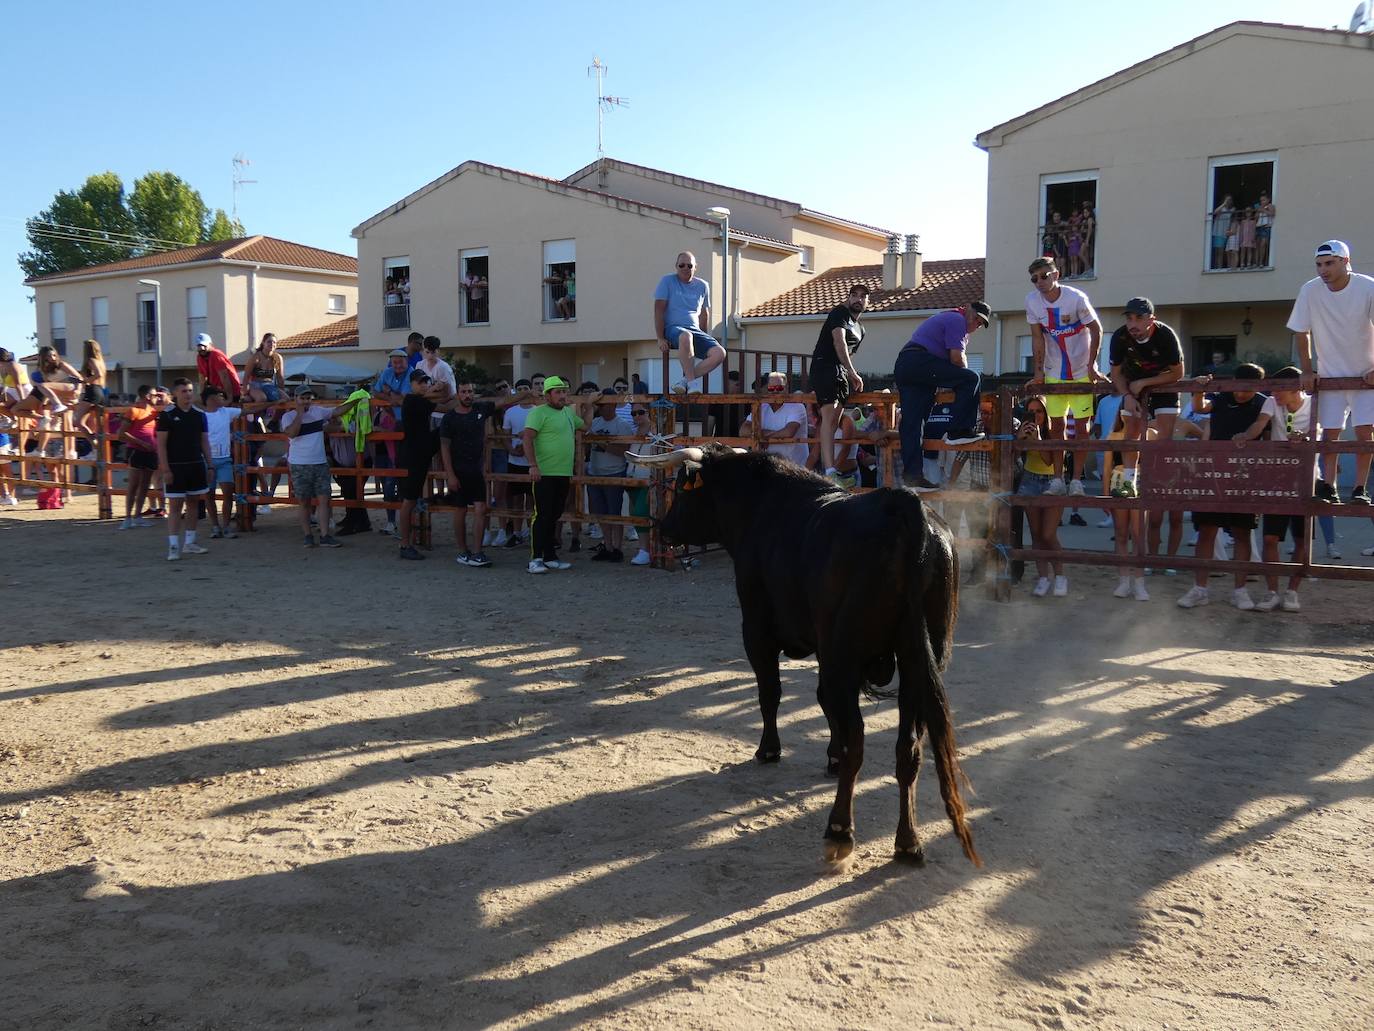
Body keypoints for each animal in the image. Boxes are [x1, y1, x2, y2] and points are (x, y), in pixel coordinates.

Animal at [637, 448, 983, 868]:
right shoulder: (824, 647)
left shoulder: (757, 629)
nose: (664, 527)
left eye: (684, 489)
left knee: (858, 741)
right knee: (908, 749)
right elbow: (821, 699)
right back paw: (907, 841)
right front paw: (829, 756)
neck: (761, 505)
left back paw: (839, 831)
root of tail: (901, 505)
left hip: (845, 655)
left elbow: (770, 692)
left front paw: (769, 749)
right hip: (920, 660)